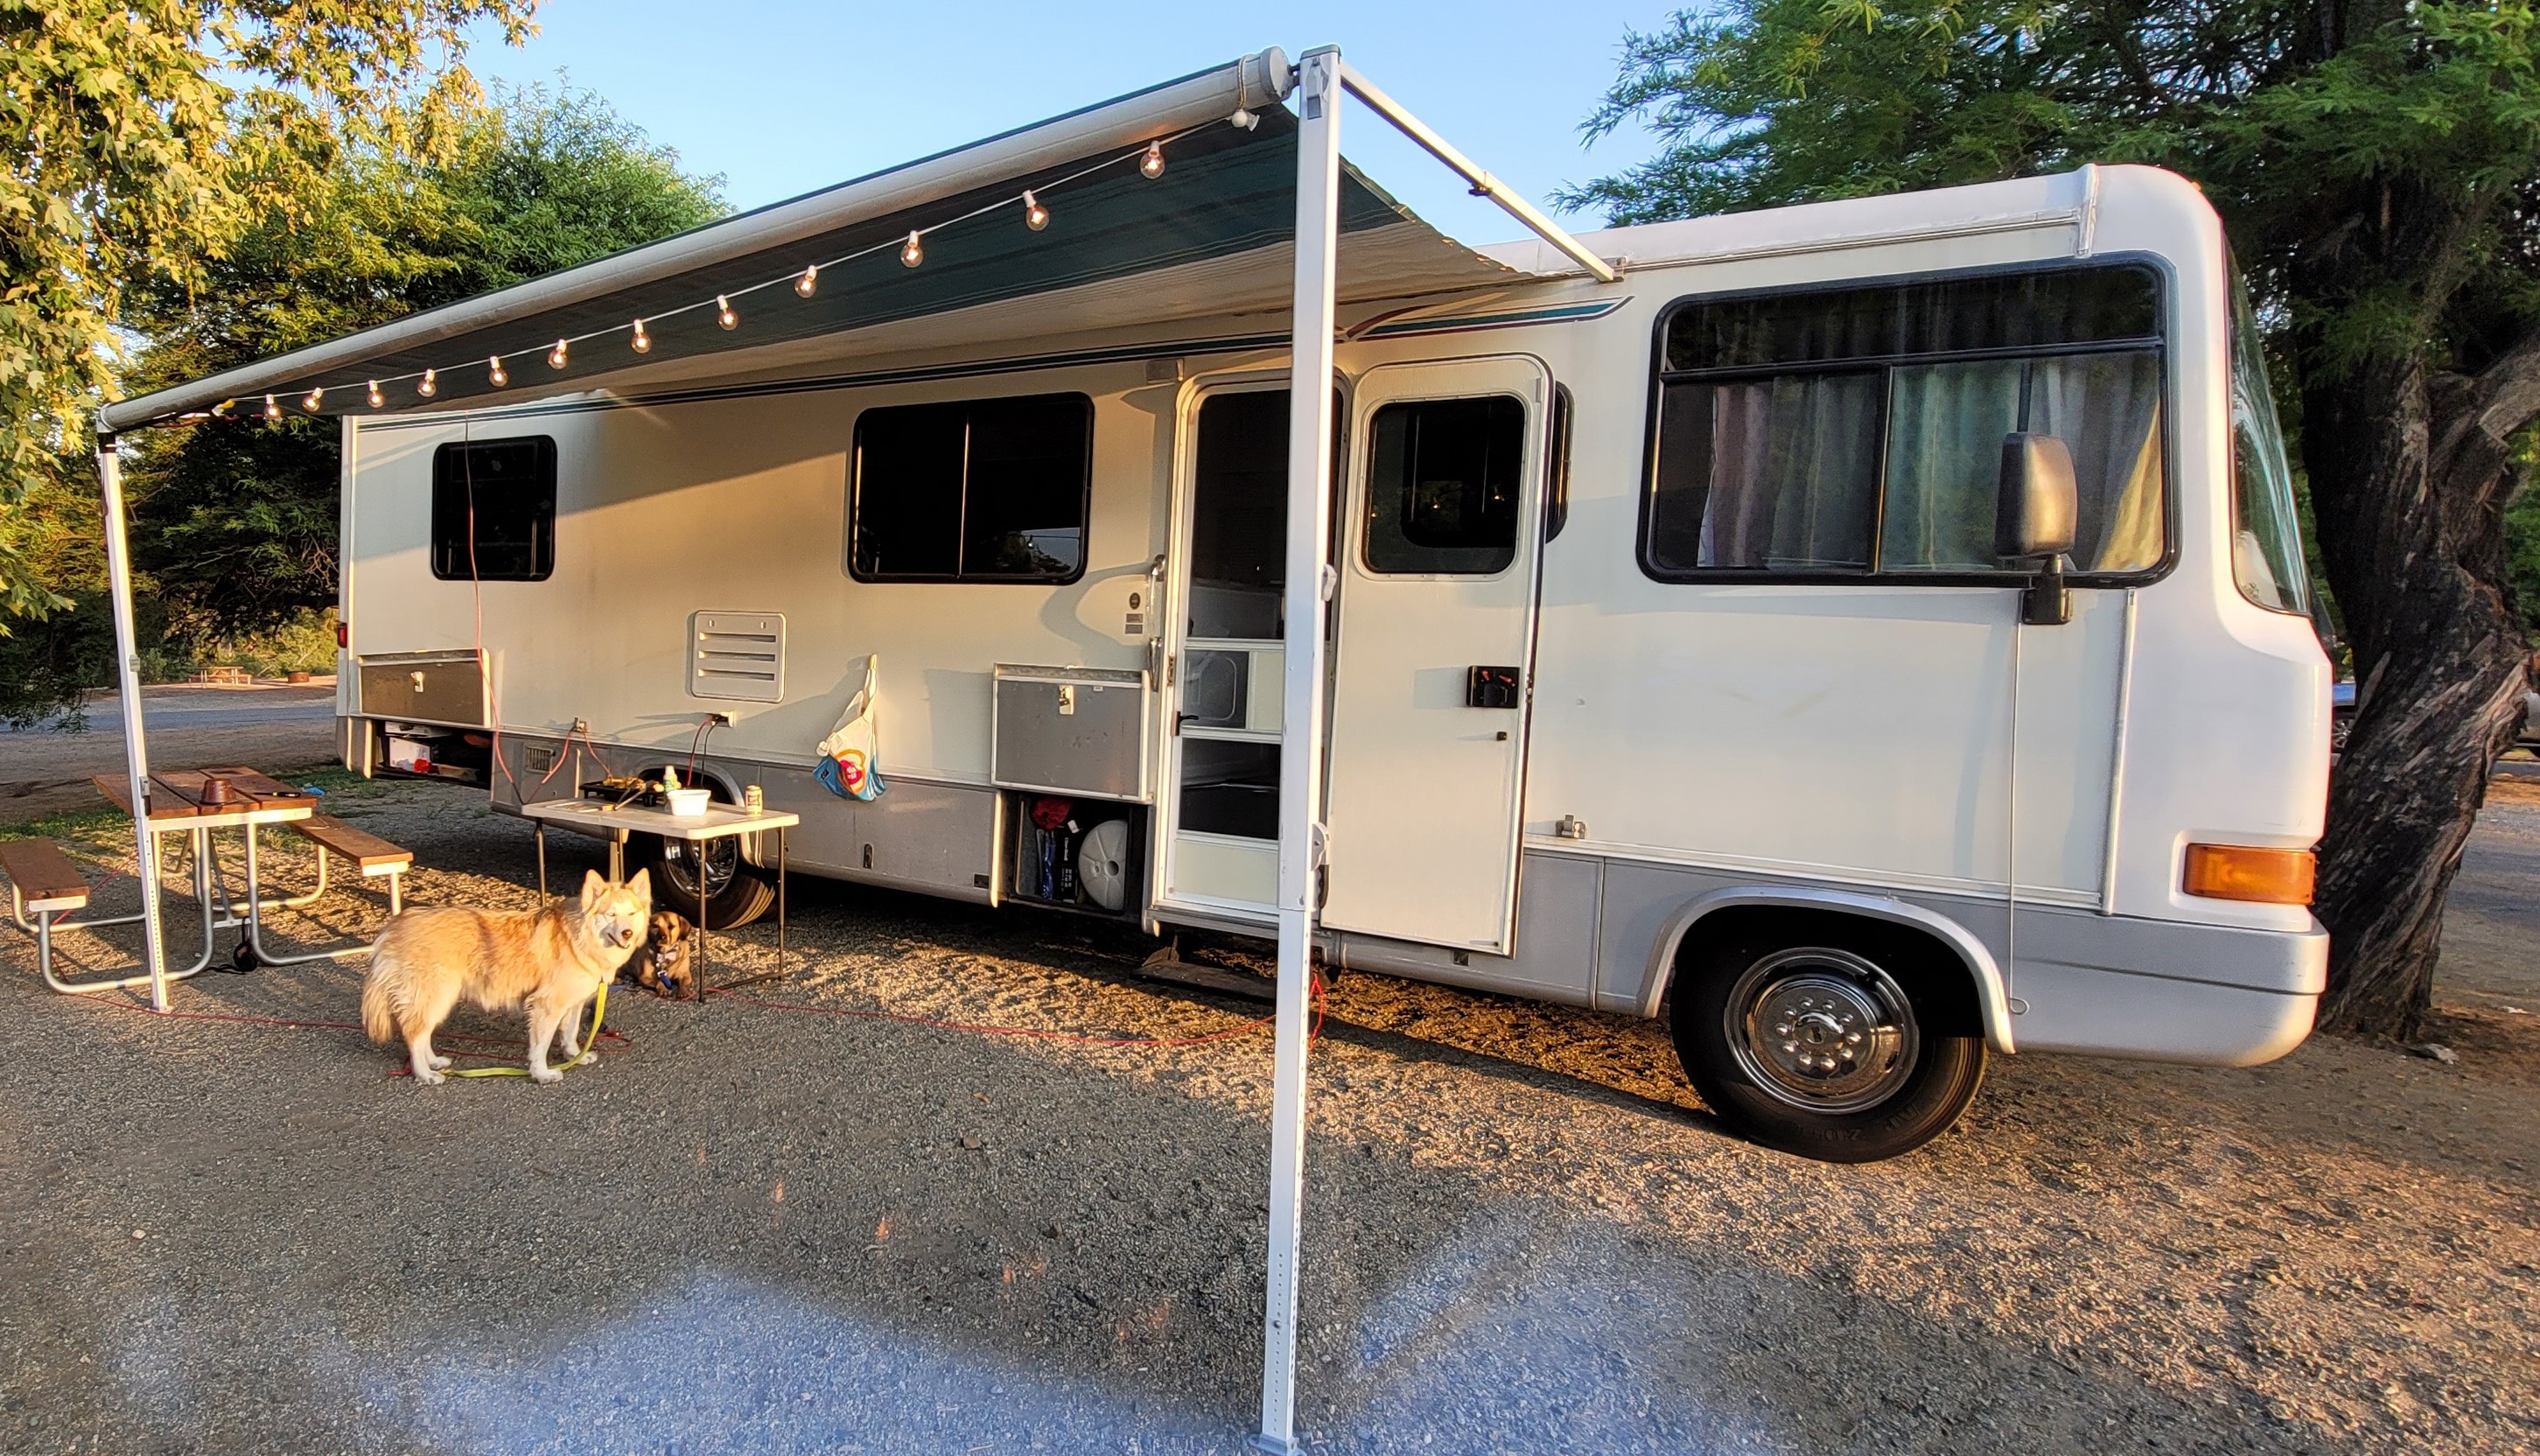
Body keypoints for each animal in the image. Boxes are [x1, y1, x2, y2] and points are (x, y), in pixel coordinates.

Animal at [363, 869, 650, 1082]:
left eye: (631, 913)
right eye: (610, 914)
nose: (627, 933)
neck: (578, 937)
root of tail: (396, 924)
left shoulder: (574, 1003)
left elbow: (570, 1032)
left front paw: (574, 1056)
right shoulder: (546, 1005)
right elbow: (541, 1044)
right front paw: (541, 1073)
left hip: (438, 999)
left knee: (422, 1033)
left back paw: (434, 1062)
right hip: (435, 994)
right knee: (414, 1034)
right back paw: (425, 1074)